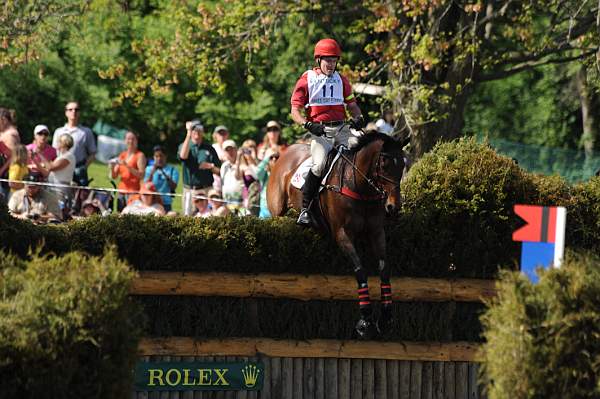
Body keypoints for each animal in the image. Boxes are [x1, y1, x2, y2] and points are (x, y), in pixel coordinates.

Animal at [268, 133, 406, 340]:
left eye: (403, 165)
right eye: (383, 164)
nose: (393, 208)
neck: (359, 186)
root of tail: (284, 153)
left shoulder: (376, 232)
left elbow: (384, 269)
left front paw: (386, 318)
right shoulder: (342, 234)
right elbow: (360, 270)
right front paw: (364, 321)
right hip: (277, 212)